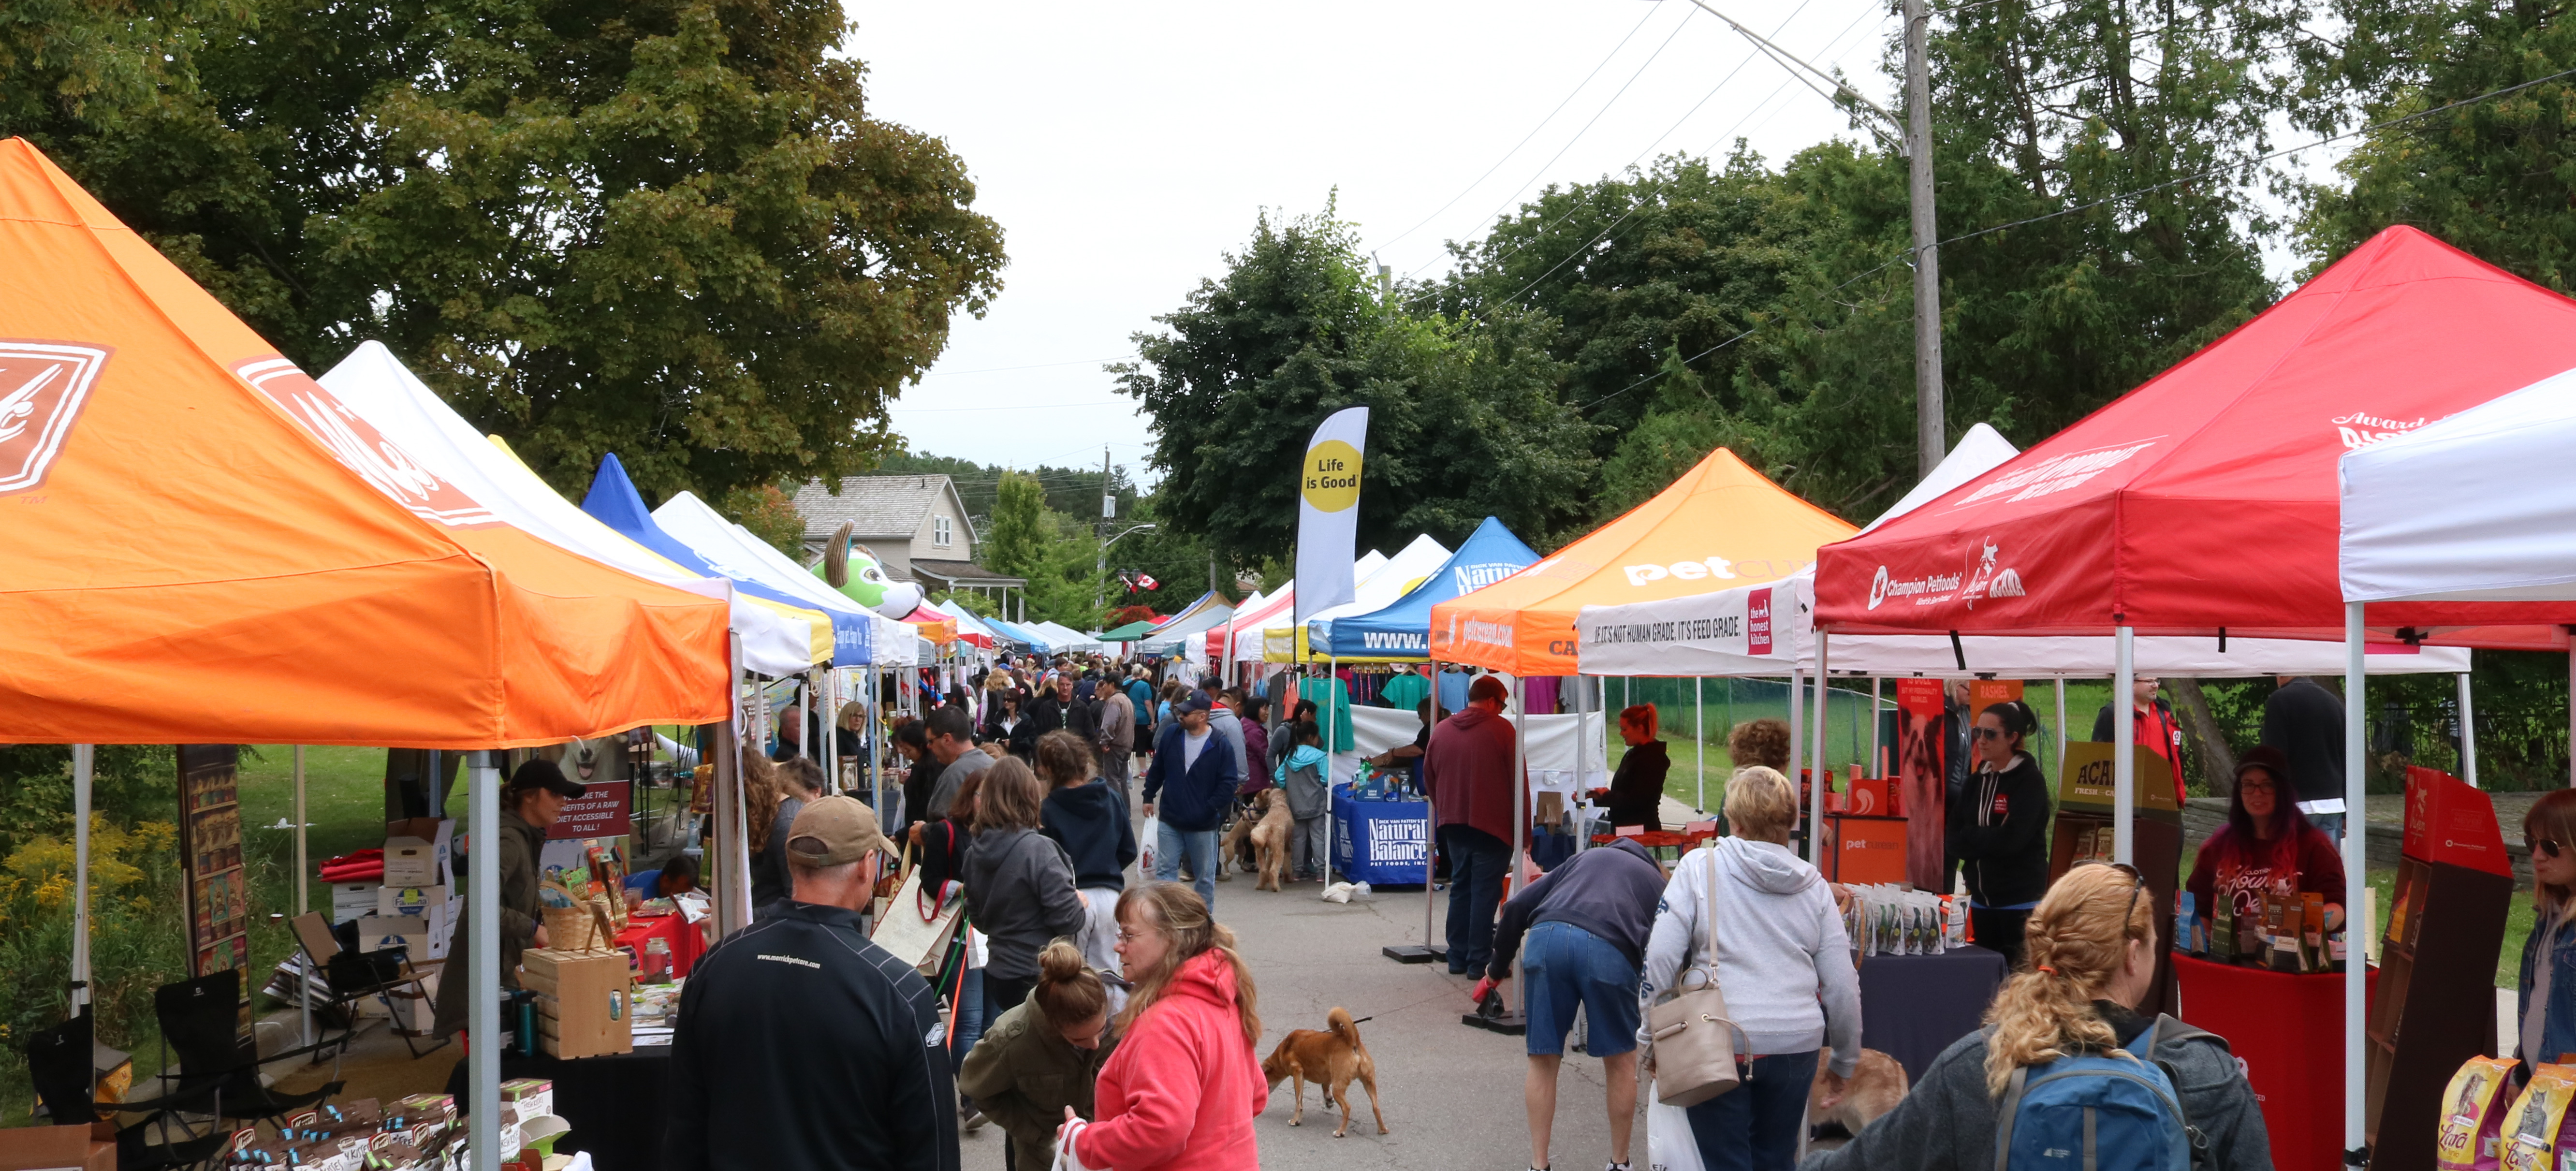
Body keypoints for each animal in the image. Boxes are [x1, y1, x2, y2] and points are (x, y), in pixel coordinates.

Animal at [1262, 1009, 1391, 1137]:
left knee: (1347, 1108)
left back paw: (1340, 1131)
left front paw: (1295, 1120)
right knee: (1376, 1107)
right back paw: (1382, 1129)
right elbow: (1324, 1087)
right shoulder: (1328, 1074)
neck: (1283, 1051)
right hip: (1369, 1082)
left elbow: (1299, 1102)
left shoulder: (1298, 1073)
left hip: (1338, 1086)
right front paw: (1328, 1100)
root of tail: (1352, 1041)